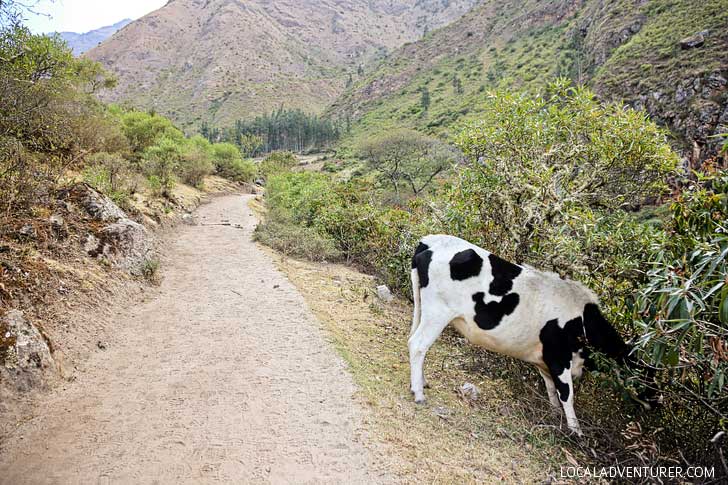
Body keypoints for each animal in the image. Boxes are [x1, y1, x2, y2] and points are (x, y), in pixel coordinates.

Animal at [406, 233, 636, 434]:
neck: (583, 319)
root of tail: (429, 242)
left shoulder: (543, 360)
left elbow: (551, 389)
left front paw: (555, 415)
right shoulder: (559, 356)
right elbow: (566, 394)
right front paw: (576, 431)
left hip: (423, 308)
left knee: (413, 340)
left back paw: (421, 383)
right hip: (438, 312)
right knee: (418, 345)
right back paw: (418, 394)